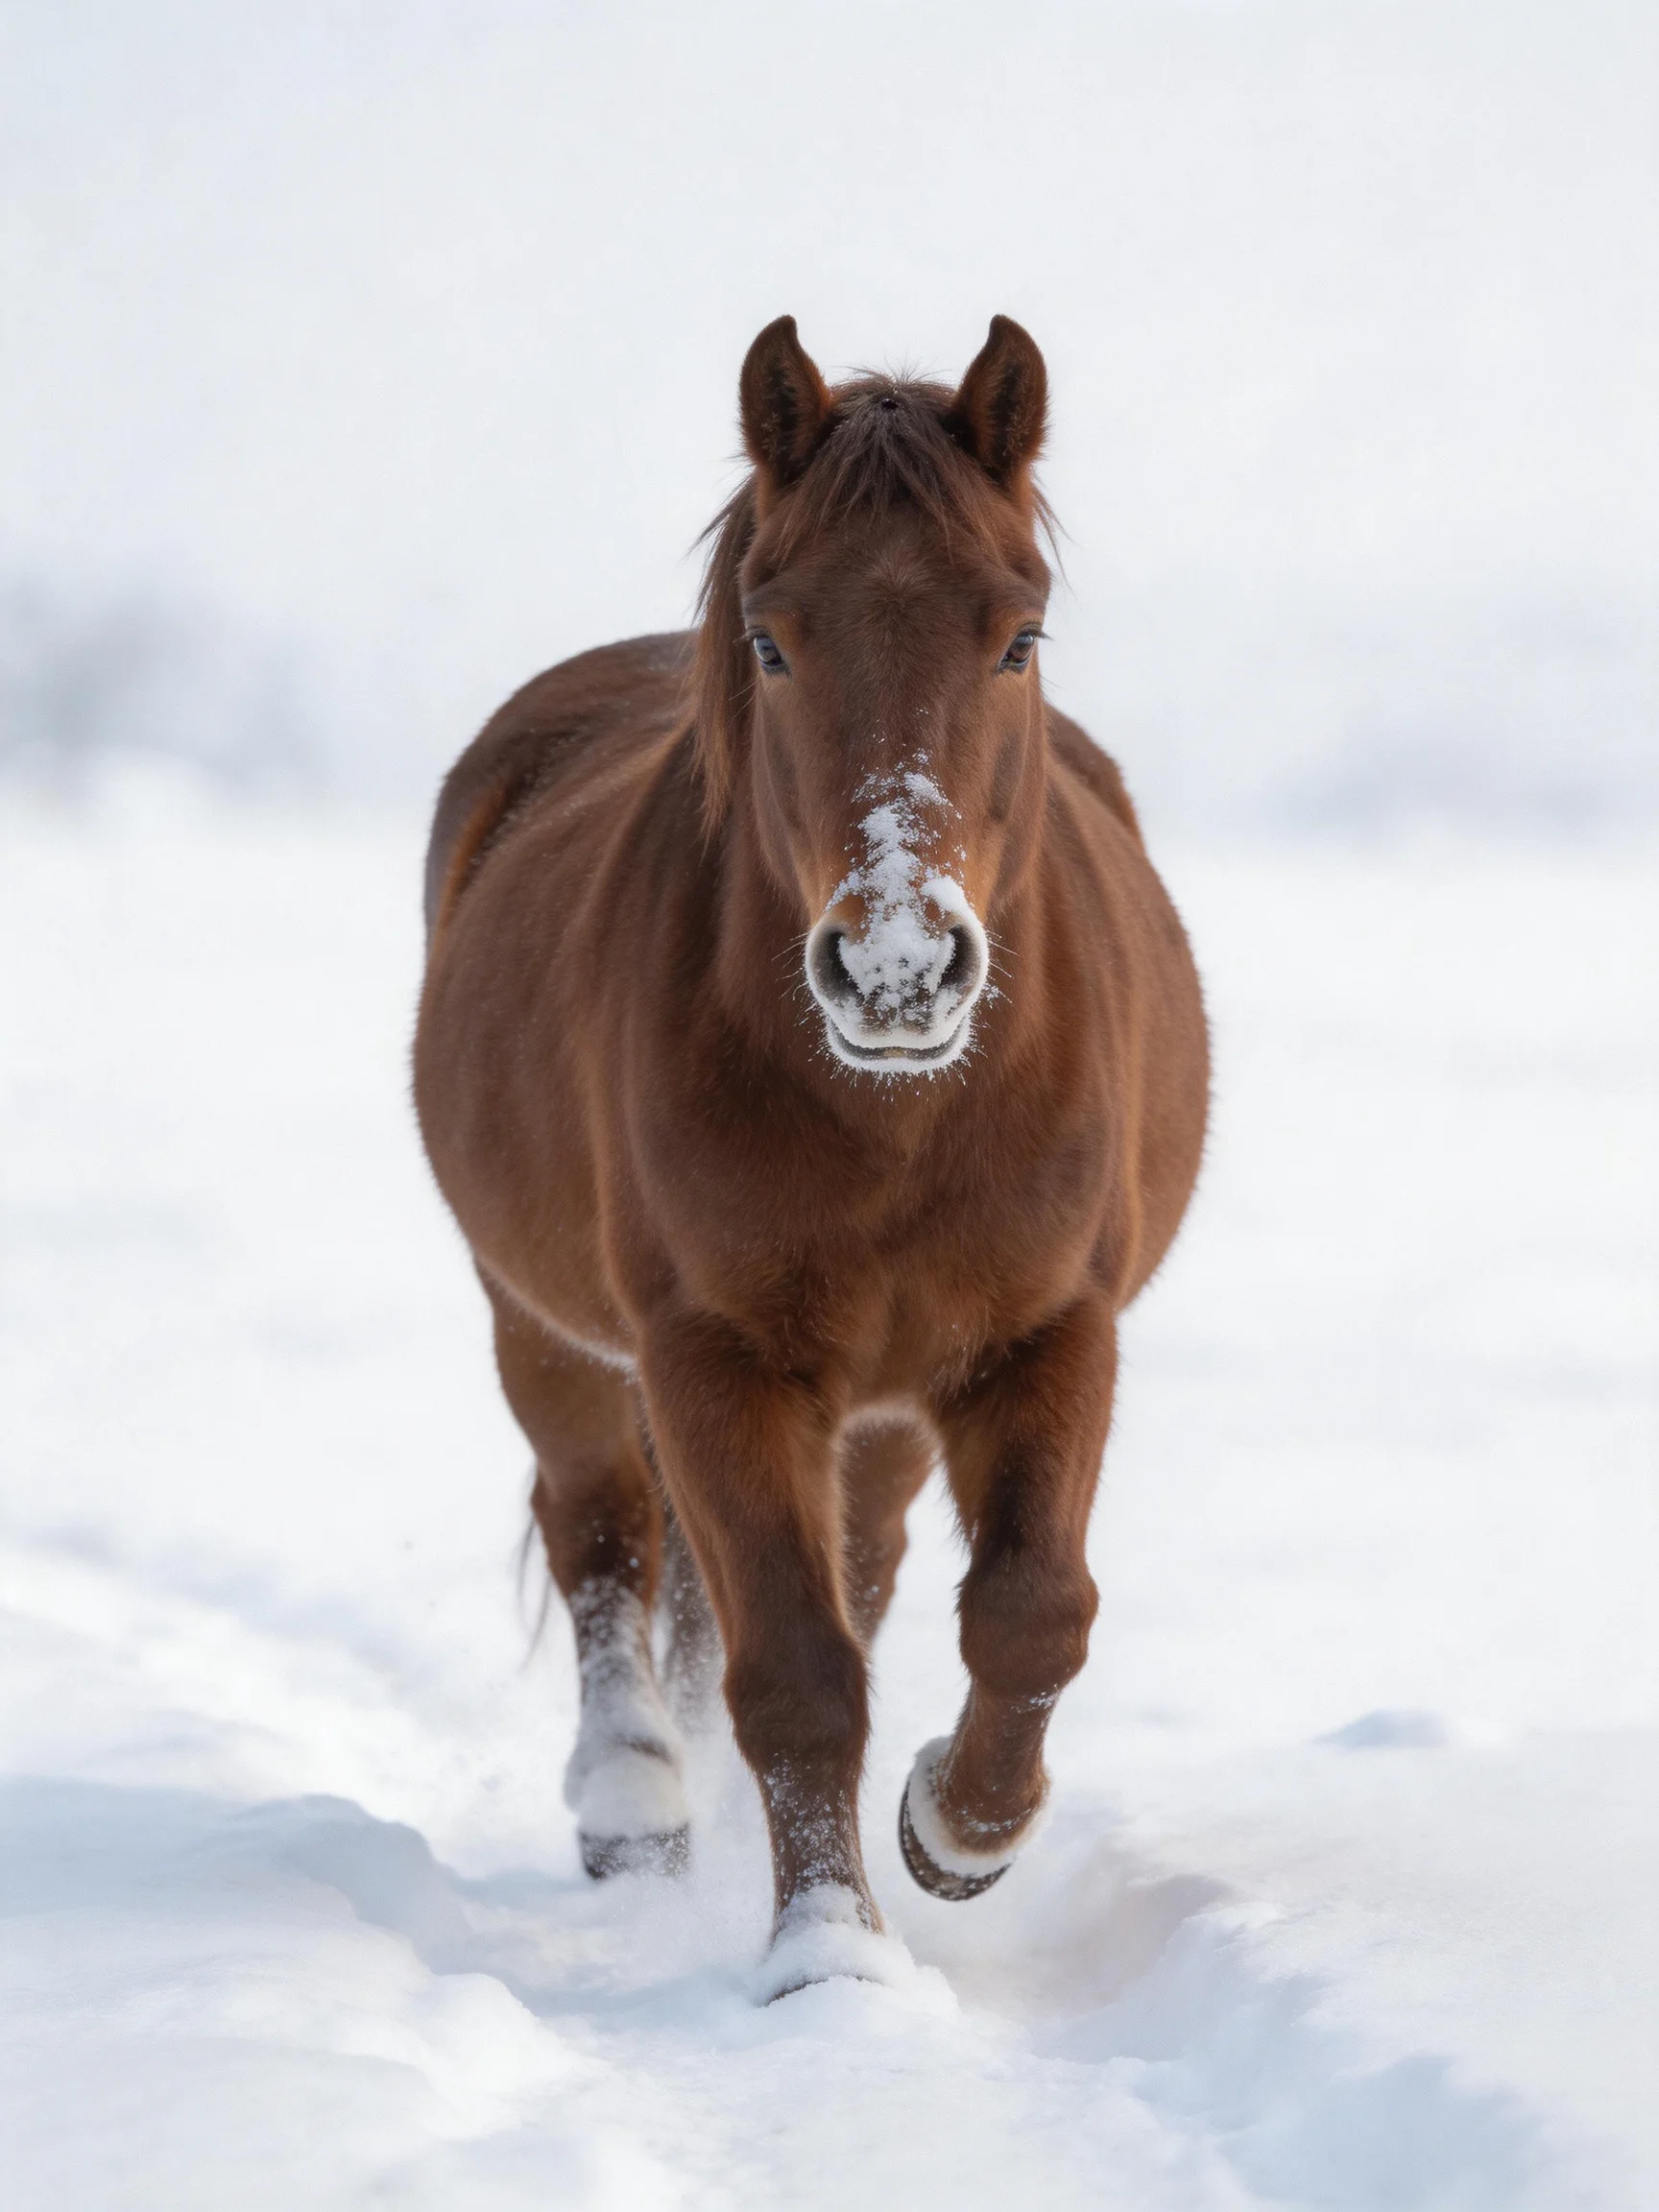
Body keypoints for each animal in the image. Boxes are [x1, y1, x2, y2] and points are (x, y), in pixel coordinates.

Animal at [414, 315, 1208, 1998]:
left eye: (1017, 636)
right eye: (774, 643)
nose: (898, 970)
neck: (897, 1118)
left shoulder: (1051, 1334)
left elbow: (1031, 1613)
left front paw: (955, 1830)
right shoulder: (713, 1356)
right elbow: (792, 1669)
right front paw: (827, 1960)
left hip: (881, 1415)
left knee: (856, 1571)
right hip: (549, 1332)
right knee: (600, 1537)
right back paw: (635, 1809)